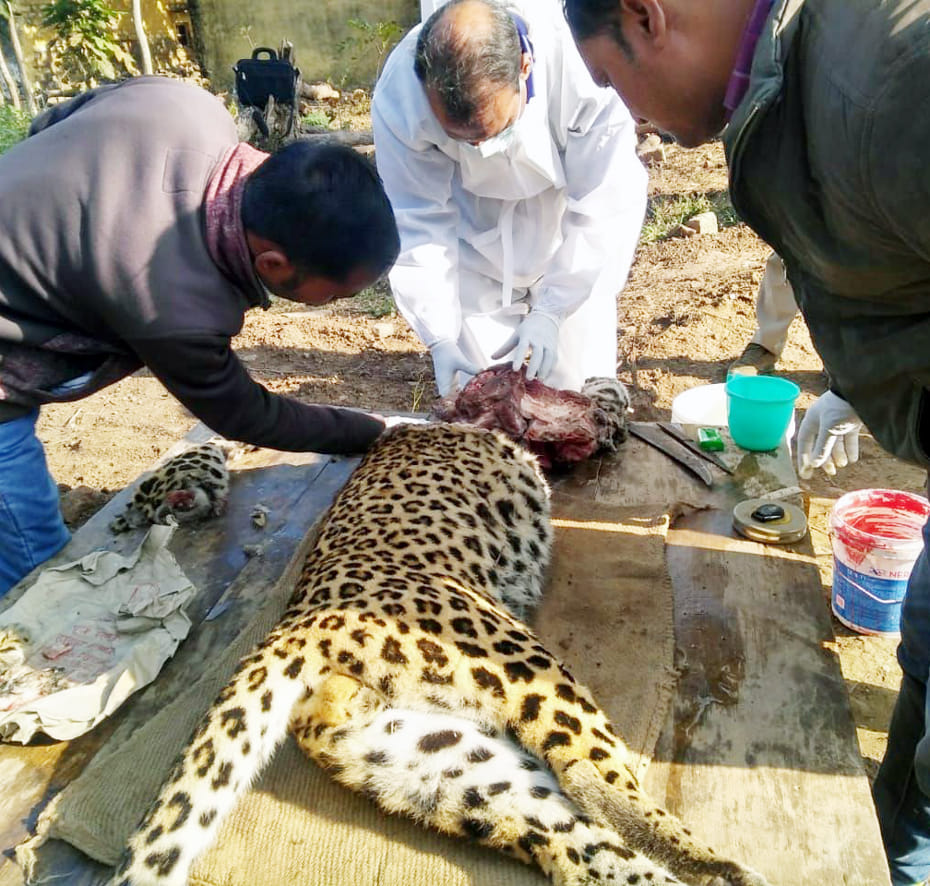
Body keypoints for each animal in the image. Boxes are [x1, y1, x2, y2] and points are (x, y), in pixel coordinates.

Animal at [112, 422, 769, 886]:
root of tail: (296, 628)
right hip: (520, 666)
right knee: (593, 780)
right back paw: (716, 863)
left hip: (435, 763)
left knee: (570, 842)